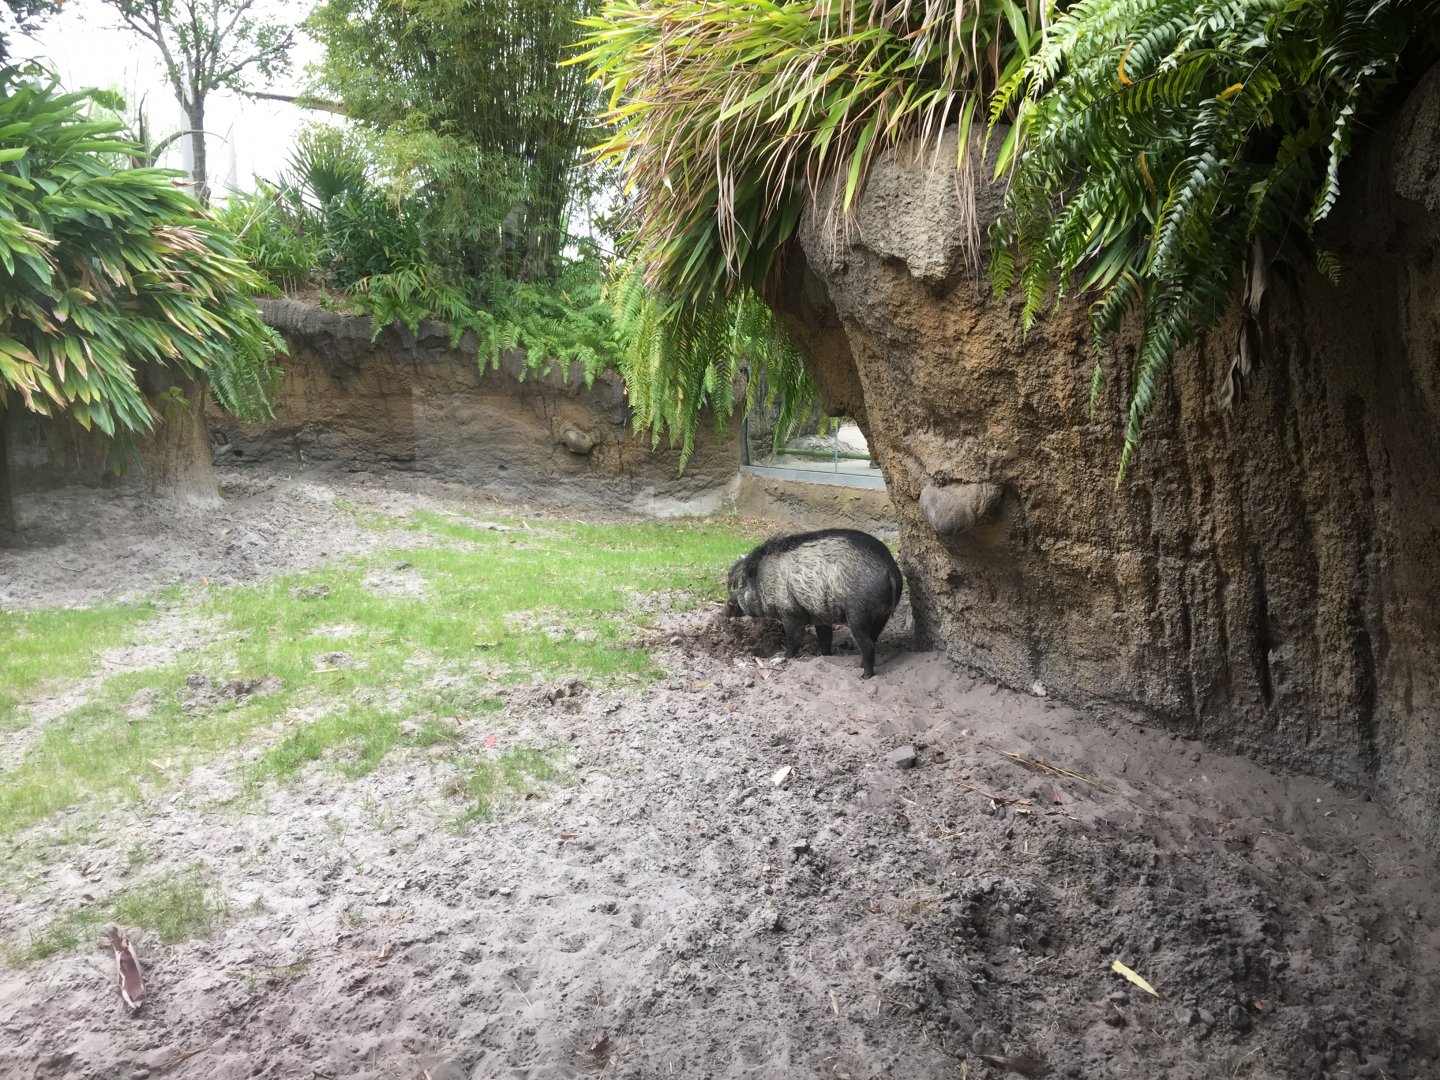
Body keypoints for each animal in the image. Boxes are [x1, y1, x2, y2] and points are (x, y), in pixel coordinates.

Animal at [725, 528, 903, 678]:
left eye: (742, 585)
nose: (728, 606)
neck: (767, 578)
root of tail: (890, 569)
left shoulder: (791, 612)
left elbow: (793, 639)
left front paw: (782, 658)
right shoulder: (820, 615)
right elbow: (825, 637)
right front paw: (821, 655)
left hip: (858, 613)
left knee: (867, 645)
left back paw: (864, 676)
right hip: (882, 614)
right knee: (873, 639)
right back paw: (859, 666)